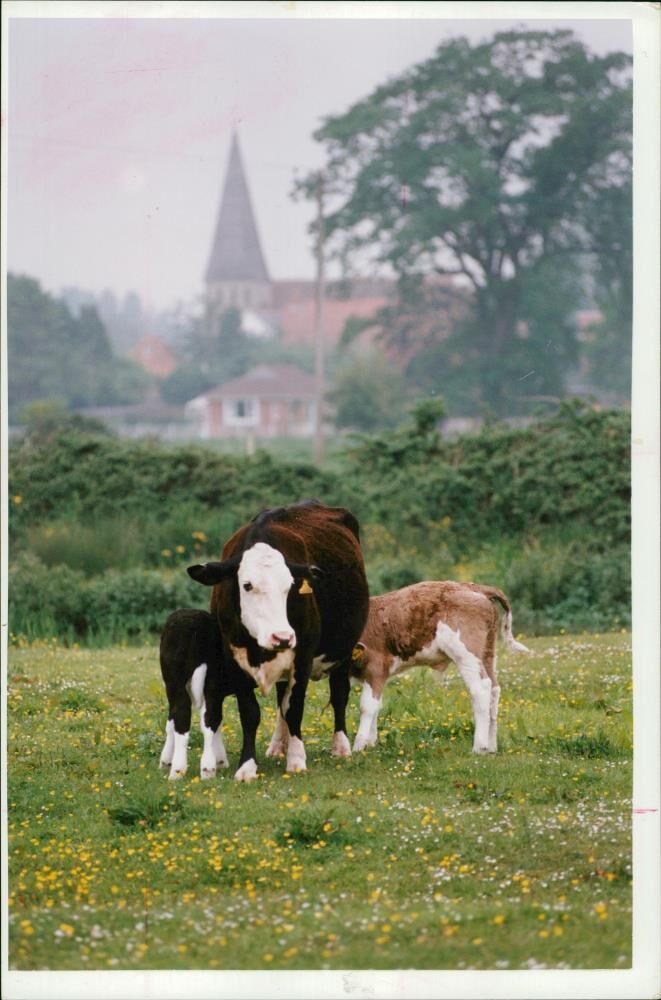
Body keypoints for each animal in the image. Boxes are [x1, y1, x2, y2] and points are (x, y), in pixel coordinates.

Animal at [159, 608, 260, 780]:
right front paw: (220, 760)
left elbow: (171, 722)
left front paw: (165, 760)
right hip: (209, 683)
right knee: (207, 720)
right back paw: (207, 768)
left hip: (174, 682)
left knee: (181, 715)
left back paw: (177, 771)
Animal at [188, 504, 368, 776]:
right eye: (247, 585)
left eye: (290, 586)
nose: (282, 636)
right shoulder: (234, 659)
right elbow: (250, 713)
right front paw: (247, 766)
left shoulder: (303, 656)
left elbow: (294, 709)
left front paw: (296, 760)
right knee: (282, 698)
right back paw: (277, 745)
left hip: (343, 653)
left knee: (338, 695)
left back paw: (341, 746)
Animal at [348, 584, 528, 752]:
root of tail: (473, 586)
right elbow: (376, 706)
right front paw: (370, 744)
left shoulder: (376, 668)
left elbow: (367, 707)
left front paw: (358, 747)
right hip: (487, 653)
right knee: (494, 689)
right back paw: (491, 747)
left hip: (466, 653)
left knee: (481, 688)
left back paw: (479, 747)